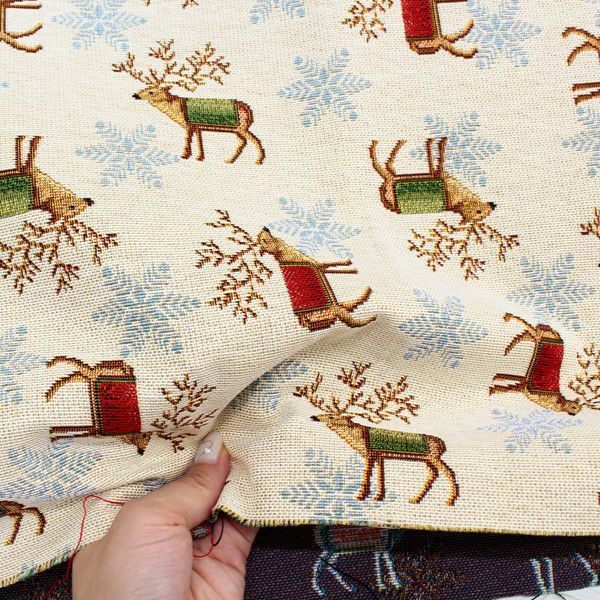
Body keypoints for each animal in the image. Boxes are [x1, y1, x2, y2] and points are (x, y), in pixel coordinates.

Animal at [113, 40, 265, 164]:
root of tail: (249, 110)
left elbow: (188, 139)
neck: (178, 109)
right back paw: (230, 160)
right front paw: (199, 157)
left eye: (151, 92)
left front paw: (185, 156)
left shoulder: (188, 124)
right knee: (242, 142)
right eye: (145, 88)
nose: (135, 95)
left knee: (255, 140)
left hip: (242, 127)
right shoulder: (196, 126)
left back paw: (258, 160)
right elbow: (198, 140)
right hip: (237, 129)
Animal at [296, 362, 459, 506]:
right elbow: (381, 474)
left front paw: (361, 496)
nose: (314, 417)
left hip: (434, 457)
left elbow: (367, 474)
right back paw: (416, 499)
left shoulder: (369, 453)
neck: (359, 436)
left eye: (331, 416)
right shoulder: (379, 455)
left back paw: (450, 500)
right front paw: (378, 496)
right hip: (427, 459)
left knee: (449, 473)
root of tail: (442, 444)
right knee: (433, 474)